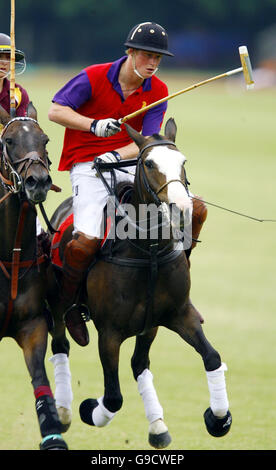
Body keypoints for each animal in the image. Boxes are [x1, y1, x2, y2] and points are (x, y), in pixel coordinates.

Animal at [48, 117, 232, 448]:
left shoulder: (178, 314)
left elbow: (212, 357)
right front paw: (87, 408)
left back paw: (158, 426)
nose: (181, 208)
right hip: (57, 303)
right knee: (60, 343)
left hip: (150, 326)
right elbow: (113, 397)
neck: (149, 252)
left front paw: (218, 418)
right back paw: (64, 410)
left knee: (139, 363)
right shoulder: (109, 333)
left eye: (183, 161)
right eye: (148, 163)